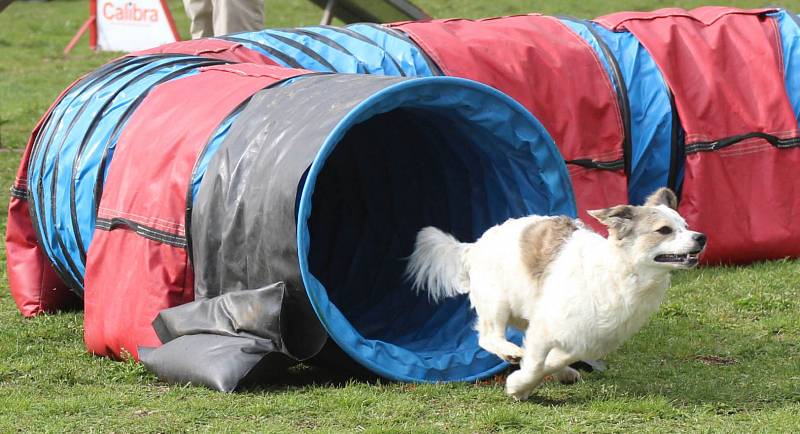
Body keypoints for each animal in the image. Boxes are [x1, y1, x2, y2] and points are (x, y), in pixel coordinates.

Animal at [406, 188, 708, 402]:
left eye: (685, 225)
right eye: (664, 230)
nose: (701, 237)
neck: (622, 273)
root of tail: (473, 246)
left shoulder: (583, 336)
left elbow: (554, 359)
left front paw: (547, 373)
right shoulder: (547, 327)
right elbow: (536, 363)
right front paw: (519, 386)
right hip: (497, 303)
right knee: (488, 336)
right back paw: (510, 352)